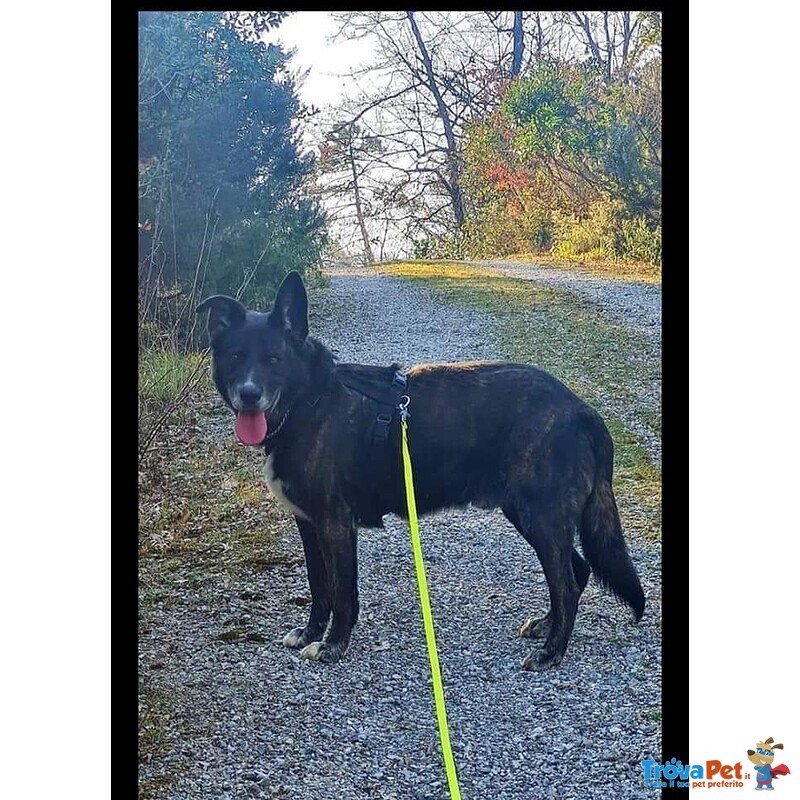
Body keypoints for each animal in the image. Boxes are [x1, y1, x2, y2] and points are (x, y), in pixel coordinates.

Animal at [197, 272, 648, 672]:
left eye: (274, 359)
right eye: (236, 357)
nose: (249, 394)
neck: (310, 400)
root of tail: (582, 409)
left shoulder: (336, 525)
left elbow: (342, 594)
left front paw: (333, 645)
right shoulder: (309, 525)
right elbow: (319, 588)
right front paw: (311, 634)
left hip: (542, 516)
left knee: (567, 582)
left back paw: (552, 652)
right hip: (530, 515)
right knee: (577, 571)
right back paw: (547, 627)